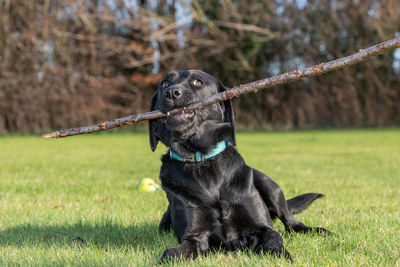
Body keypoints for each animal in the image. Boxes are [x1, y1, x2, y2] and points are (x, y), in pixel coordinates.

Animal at [148, 69, 326, 264]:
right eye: (164, 83)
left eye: (197, 82)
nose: (171, 93)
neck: (202, 159)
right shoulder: (194, 236)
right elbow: (169, 253)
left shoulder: (262, 227)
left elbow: (274, 238)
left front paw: (281, 256)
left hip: (269, 185)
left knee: (290, 221)